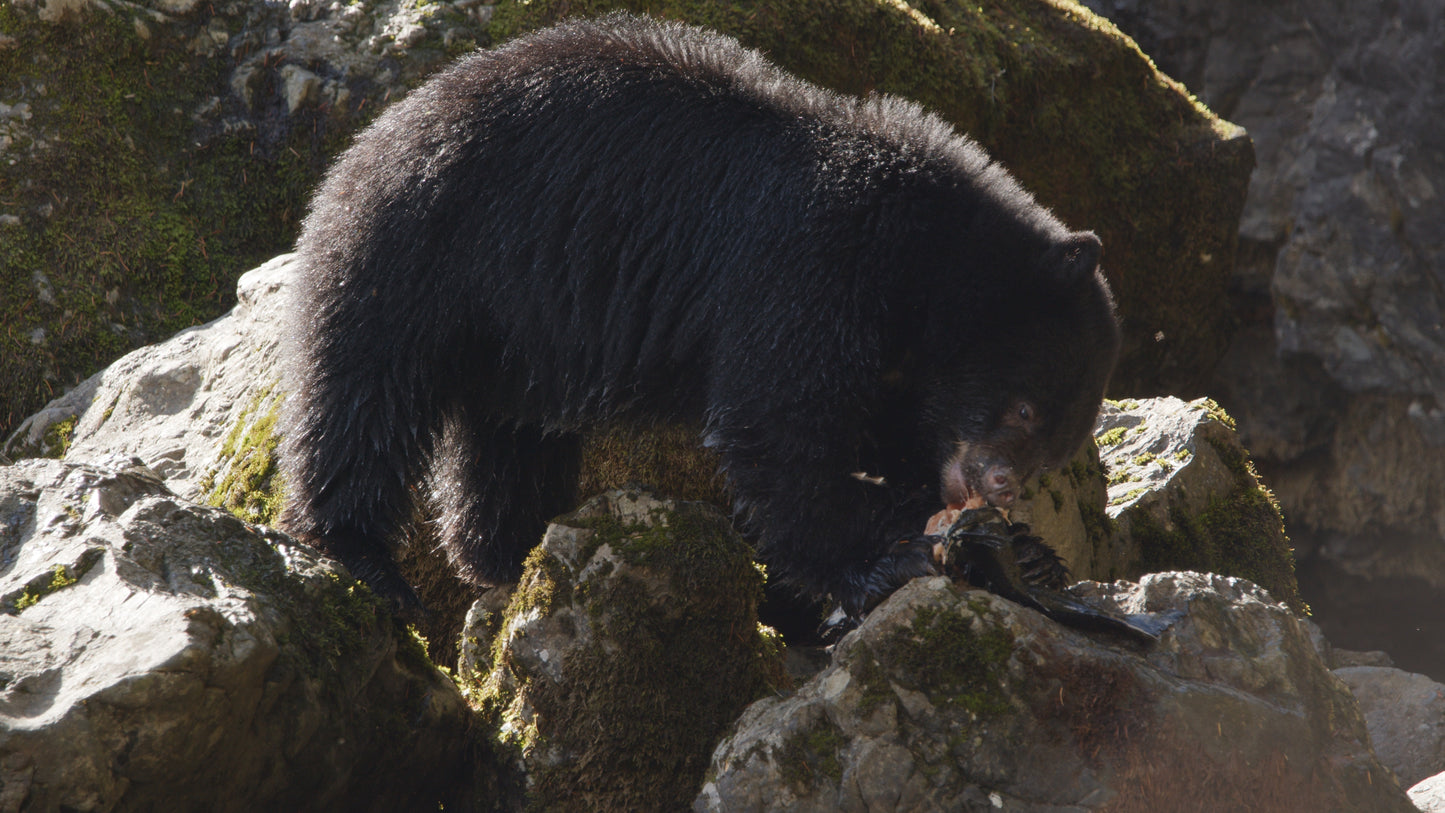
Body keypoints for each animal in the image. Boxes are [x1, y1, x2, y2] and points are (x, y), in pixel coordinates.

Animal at [278, 12, 1115, 620]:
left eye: (1052, 448)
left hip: (509, 340)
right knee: (365, 400)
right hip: (419, 258)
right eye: (1023, 406)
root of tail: (370, 137)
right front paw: (881, 560)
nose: (999, 484)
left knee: (503, 446)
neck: (918, 257)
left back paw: (505, 553)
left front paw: (1022, 551)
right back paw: (368, 561)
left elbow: (884, 432)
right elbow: (776, 424)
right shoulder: (805, 264)